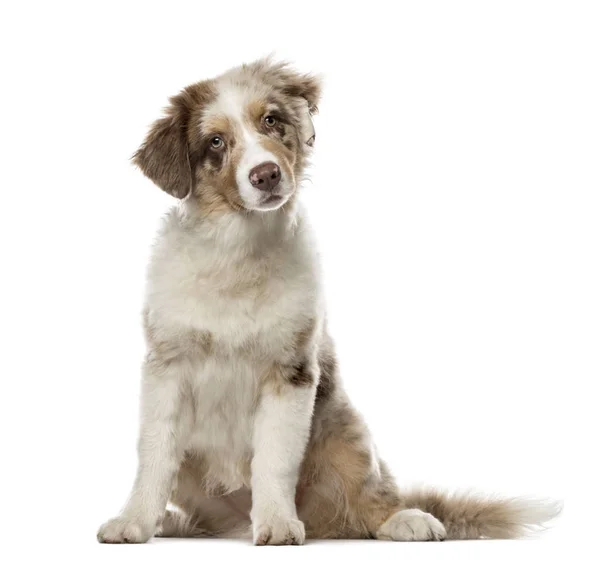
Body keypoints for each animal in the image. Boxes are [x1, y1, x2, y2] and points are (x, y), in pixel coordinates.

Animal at [96, 58, 560, 544]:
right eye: (216, 142)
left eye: (271, 120)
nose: (266, 174)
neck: (238, 251)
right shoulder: (167, 366)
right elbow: (154, 454)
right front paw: (134, 521)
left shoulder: (292, 372)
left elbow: (274, 460)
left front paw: (278, 523)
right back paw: (174, 523)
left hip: (344, 432)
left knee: (371, 498)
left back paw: (404, 519)